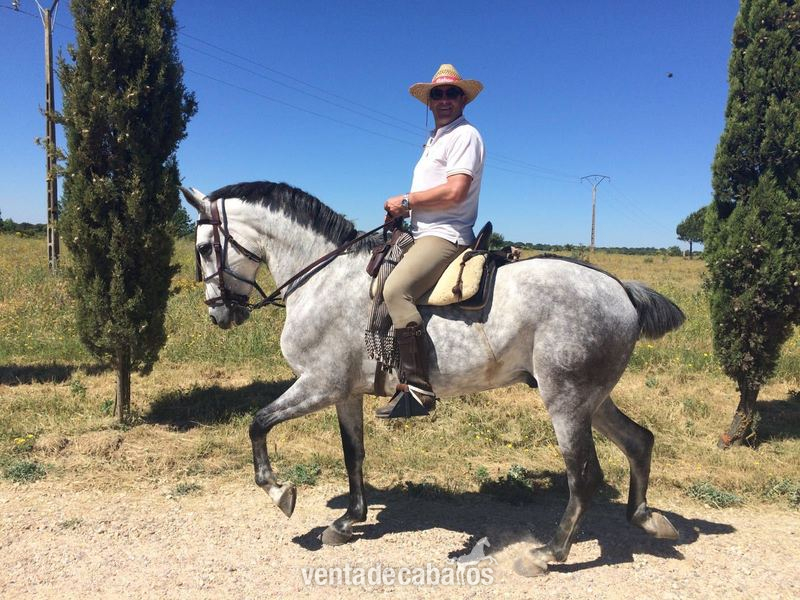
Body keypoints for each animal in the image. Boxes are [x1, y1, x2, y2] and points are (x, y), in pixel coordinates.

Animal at [180, 181, 685, 577]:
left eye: (204, 248)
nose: (219, 313)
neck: (323, 278)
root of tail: (620, 288)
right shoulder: (345, 393)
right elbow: (352, 453)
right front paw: (348, 520)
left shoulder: (318, 385)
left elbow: (258, 424)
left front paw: (280, 493)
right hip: (592, 400)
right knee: (638, 441)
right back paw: (646, 518)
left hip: (567, 401)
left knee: (583, 475)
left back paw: (549, 553)